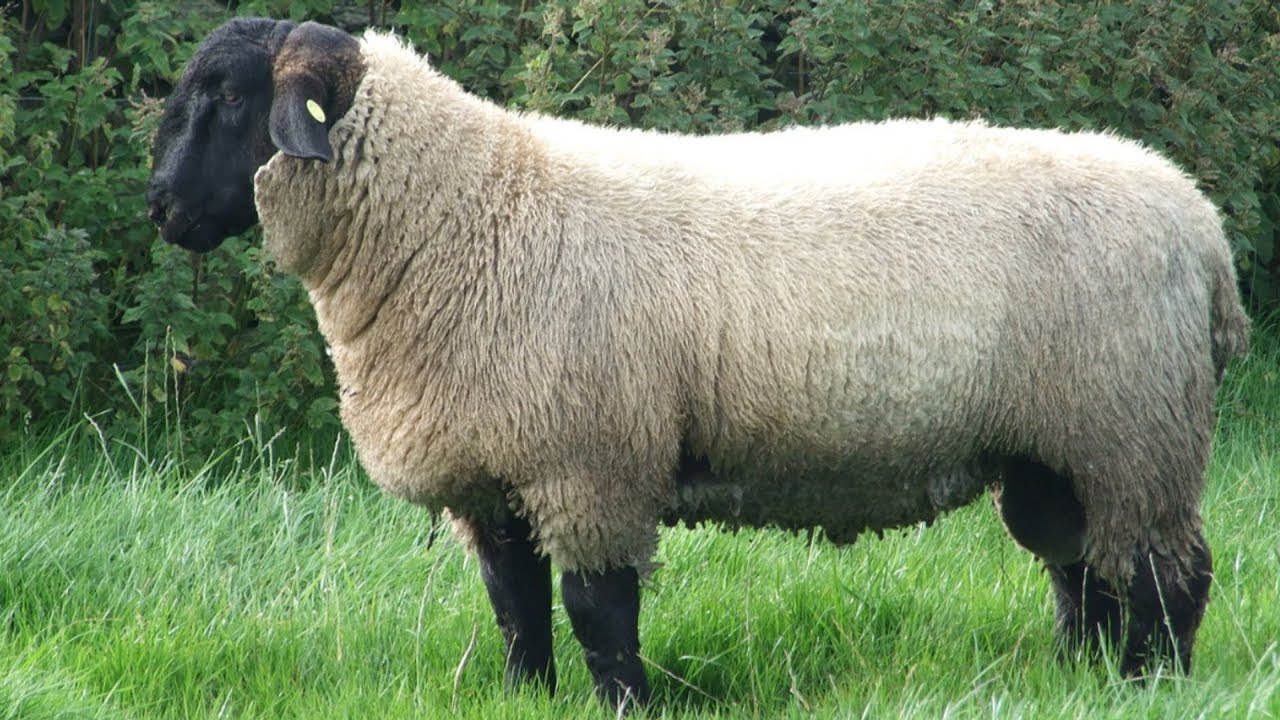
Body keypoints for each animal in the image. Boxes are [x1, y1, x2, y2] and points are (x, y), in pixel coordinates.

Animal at [146, 17, 1251, 710]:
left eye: (230, 97)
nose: (159, 209)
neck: (465, 212)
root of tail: (1199, 227)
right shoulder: (496, 474)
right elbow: (514, 607)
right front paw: (526, 697)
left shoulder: (589, 463)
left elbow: (598, 611)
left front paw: (624, 706)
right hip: (1058, 447)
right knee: (1083, 569)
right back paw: (1076, 679)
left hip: (1134, 428)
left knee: (1167, 577)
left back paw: (1151, 688)